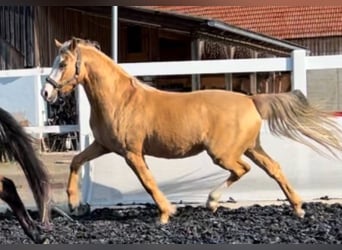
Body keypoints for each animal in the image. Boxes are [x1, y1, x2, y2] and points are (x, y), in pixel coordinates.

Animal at [41, 37, 342, 225]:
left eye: (63, 63)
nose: (46, 93)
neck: (120, 99)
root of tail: (251, 100)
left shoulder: (131, 153)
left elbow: (147, 182)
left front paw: (165, 214)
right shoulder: (103, 145)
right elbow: (76, 161)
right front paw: (75, 206)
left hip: (223, 153)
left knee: (242, 170)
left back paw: (212, 201)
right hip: (251, 147)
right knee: (273, 168)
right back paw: (298, 208)